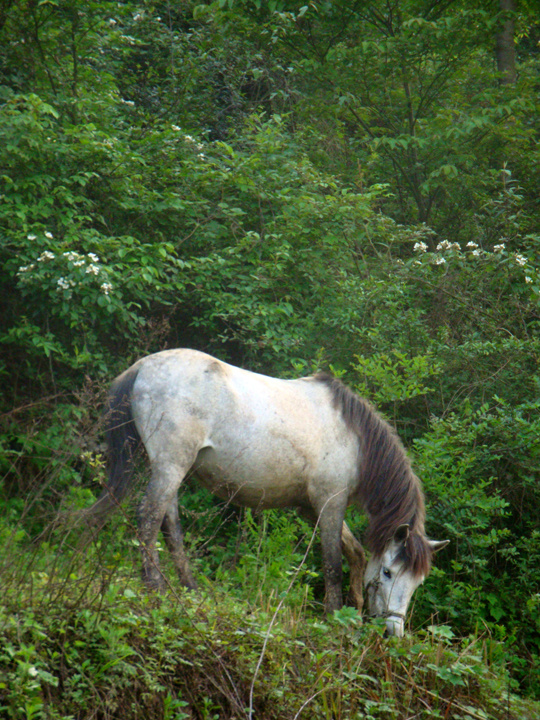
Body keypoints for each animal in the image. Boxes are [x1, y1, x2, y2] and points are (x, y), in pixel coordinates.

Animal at [93, 348, 448, 636]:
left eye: (417, 582)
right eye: (388, 572)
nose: (392, 633)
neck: (355, 438)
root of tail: (141, 367)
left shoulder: (310, 506)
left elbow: (356, 552)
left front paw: (355, 610)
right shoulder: (330, 501)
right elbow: (333, 563)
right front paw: (333, 617)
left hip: (172, 469)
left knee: (171, 527)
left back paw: (189, 589)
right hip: (170, 465)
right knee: (149, 518)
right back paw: (154, 588)